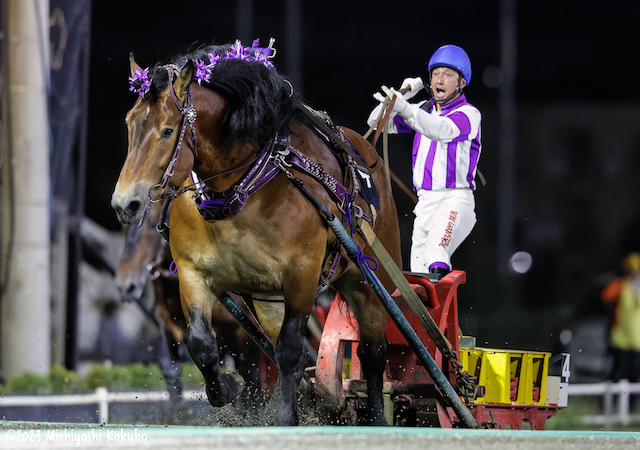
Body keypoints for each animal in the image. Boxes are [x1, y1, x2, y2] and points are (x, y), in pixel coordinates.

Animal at [110, 43, 400, 426]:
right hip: (267, 301)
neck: (240, 190)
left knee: (372, 351)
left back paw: (377, 417)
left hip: (367, 281)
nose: (125, 204)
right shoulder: (192, 274)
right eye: (130, 124)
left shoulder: (302, 274)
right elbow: (203, 345)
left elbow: (288, 353)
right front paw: (227, 388)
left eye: (168, 131)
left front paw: (285, 418)